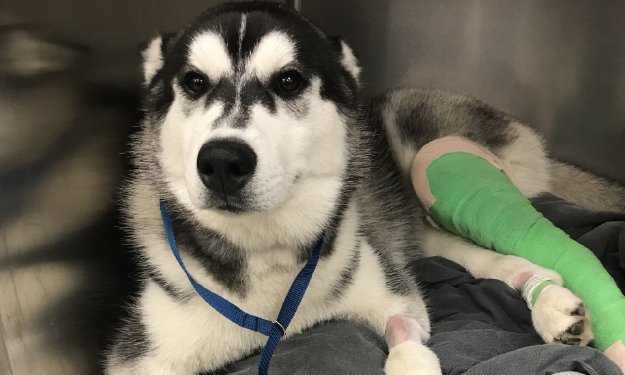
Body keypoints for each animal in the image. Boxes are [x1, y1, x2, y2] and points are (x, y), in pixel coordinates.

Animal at [105, 2, 620, 374]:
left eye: (289, 81)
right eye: (193, 82)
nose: (222, 162)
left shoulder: (396, 297)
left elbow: (406, 336)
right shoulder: (143, 355)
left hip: (417, 141)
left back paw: (551, 301)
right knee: (483, 256)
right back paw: (547, 297)